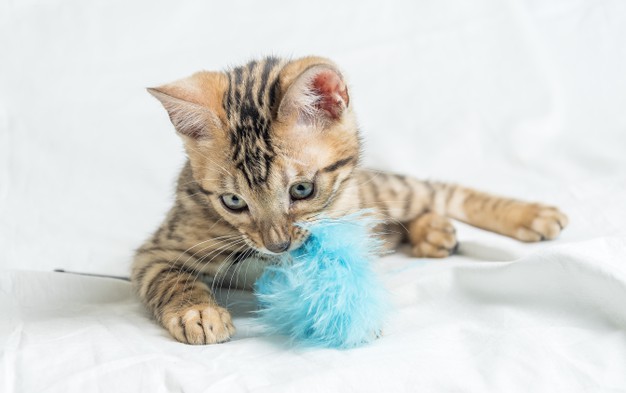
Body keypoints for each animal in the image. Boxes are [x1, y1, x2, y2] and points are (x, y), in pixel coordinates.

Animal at [130, 55, 564, 344]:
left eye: (301, 190)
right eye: (234, 202)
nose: (277, 245)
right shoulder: (157, 250)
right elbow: (169, 279)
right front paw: (198, 311)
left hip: (380, 194)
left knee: (441, 192)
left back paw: (529, 215)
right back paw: (432, 232)